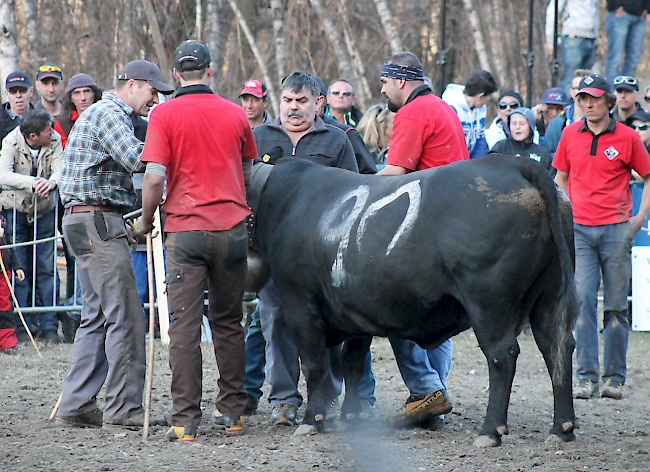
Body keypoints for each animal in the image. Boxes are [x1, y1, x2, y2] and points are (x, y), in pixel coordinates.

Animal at [244, 155, 576, 446]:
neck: (281, 199)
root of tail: (517, 164)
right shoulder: (356, 310)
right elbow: (354, 362)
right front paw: (352, 416)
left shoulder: (300, 302)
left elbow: (314, 366)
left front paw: (312, 421)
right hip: (549, 296)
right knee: (557, 348)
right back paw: (562, 428)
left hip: (488, 302)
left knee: (502, 355)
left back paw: (490, 431)